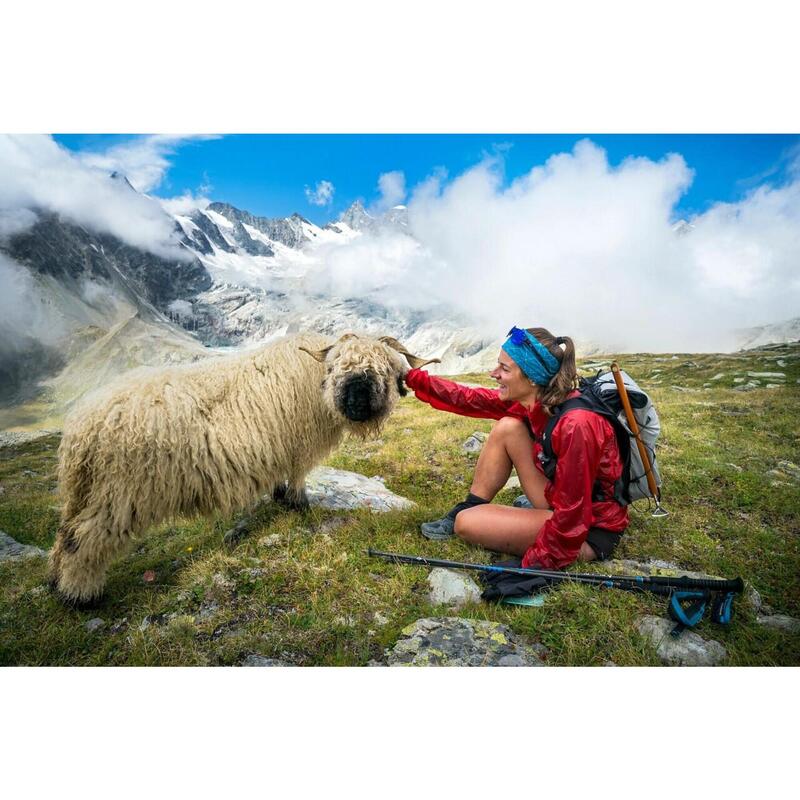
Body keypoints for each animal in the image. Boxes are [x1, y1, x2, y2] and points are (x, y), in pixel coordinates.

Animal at [48, 332, 438, 608]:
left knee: (65, 534)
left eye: (383, 369)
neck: (315, 381)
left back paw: (56, 584)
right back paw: (82, 598)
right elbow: (298, 475)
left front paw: (281, 497)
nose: (356, 404)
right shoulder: (298, 445)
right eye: (336, 368)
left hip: (85, 491)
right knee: (83, 540)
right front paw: (298, 503)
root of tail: (83, 429)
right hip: (119, 494)